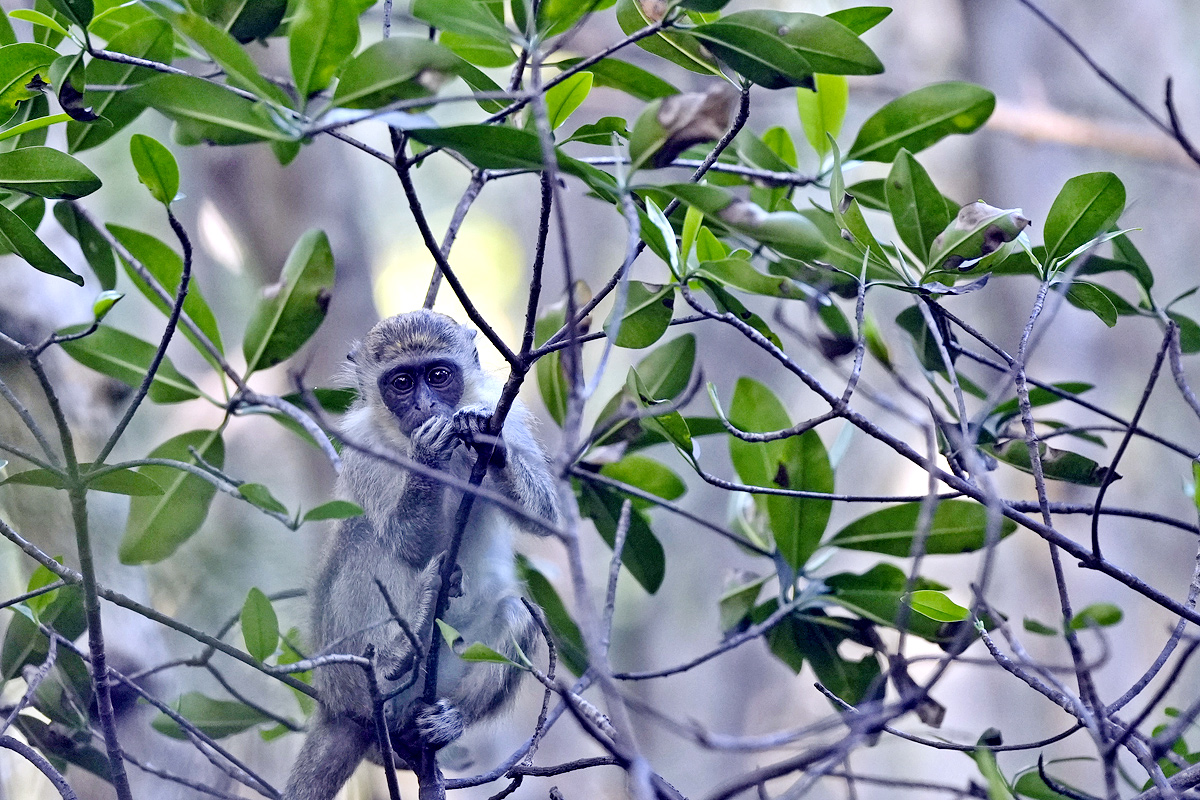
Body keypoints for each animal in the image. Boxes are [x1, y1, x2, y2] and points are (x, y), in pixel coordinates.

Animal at [283, 309, 559, 800]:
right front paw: (427, 453)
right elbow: (405, 543)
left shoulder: (504, 414)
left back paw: (442, 722)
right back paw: (398, 648)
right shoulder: (364, 449)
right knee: (365, 537)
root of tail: (332, 706)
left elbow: (544, 516)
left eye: (438, 375)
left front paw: (488, 445)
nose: (426, 407)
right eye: (401, 382)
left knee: (517, 614)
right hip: (342, 670)